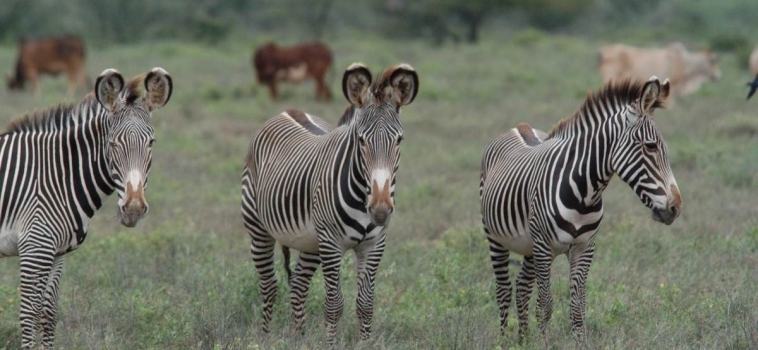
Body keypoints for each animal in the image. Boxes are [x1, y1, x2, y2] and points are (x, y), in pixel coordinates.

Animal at [0, 67, 174, 348]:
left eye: (151, 142)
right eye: (113, 143)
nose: (134, 209)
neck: (59, 175)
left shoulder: (57, 252)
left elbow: (48, 314)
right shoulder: (35, 247)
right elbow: (29, 314)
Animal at [242, 62, 418, 342]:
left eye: (399, 140)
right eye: (361, 140)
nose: (380, 211)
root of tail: (288, 110)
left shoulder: (374, 245)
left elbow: (365, 303)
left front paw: (365, 343)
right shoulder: (332, 244)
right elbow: (334, 305)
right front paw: (332, 342)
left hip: (311, 242)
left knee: (298, 285)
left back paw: (300, 339)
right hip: (259, 228)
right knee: (269, 285)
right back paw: (265, 337)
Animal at [480, 77, 684, 344]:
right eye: (650, 147)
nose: (675, 207)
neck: (585, 194)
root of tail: (519, 127)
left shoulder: (584, 248)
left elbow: (577, 307)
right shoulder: (544, 247)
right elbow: (545, 306)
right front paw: (545, 344)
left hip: (529, 246)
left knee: (522, 287)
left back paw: (522, 341)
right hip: (495, 237)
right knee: (504, 289)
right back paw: (505, 342)